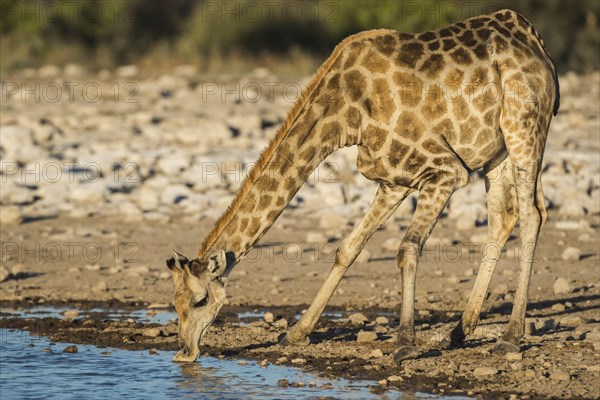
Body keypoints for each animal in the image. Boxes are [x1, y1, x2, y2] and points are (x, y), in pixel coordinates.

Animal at [168, 8, 556, 366]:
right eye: (174, 303)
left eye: (201, 300)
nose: (184, 353)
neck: (344, 117)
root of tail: (540, 45)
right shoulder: (394, 179)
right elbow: (348, 248)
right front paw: (296, 332)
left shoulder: (445, 170)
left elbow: (408, 248)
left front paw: (404, 343)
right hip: (497, 151)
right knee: (504, 215)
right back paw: (460, 330)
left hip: (525, 127)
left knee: (532, 214)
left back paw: (510, 336)